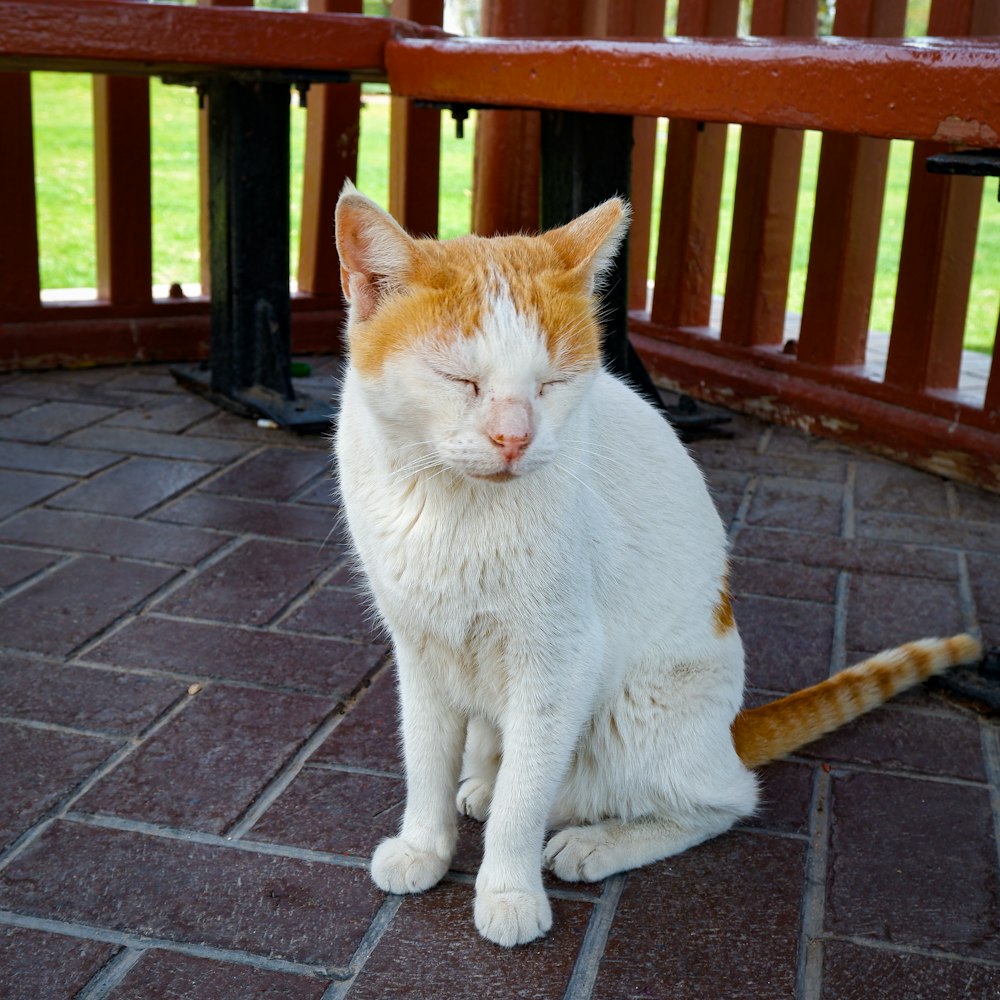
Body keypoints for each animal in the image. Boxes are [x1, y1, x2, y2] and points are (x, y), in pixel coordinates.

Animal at [332, 182, 980, 944]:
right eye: (459, 380)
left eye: (552, 384)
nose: (515, 438)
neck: (453, 505)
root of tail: (728, 733)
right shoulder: (421, 648)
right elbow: (427, 760)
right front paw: (424, 847)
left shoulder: (560, 660)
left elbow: (527, 794)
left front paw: (508, 890)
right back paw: (487, 783)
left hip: (639, 711)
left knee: (721, 800)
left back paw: (597, 841)